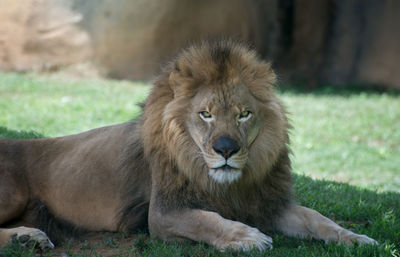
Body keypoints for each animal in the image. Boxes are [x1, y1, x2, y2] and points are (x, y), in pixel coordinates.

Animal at [0, 40, 376, 250]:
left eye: (244, 114)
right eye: (205, 114)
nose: (226, 149)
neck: (226, 185)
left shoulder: (268, 203)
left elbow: (319, 219)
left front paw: (358, 239)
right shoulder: (164, 213)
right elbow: (206, 220)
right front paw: (247, 238)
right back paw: (28, 238)